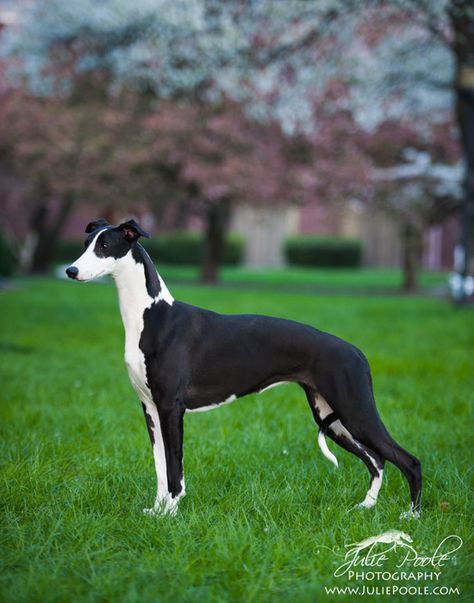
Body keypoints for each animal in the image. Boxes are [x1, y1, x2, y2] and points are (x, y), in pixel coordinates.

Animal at [65, 219, 422, 516]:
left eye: (105, 245)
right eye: (85, 243)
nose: (70, 270)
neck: (152, 315)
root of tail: (357, 352)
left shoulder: (171, 408)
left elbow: (174, 469)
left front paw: (171, 514)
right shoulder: (150, 408)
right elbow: (160, 467)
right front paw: (156, 511)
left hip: (355, 412)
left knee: (408, 460)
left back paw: (411, 515)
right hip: (332, 416)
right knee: (377, 460)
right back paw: (366, 506)